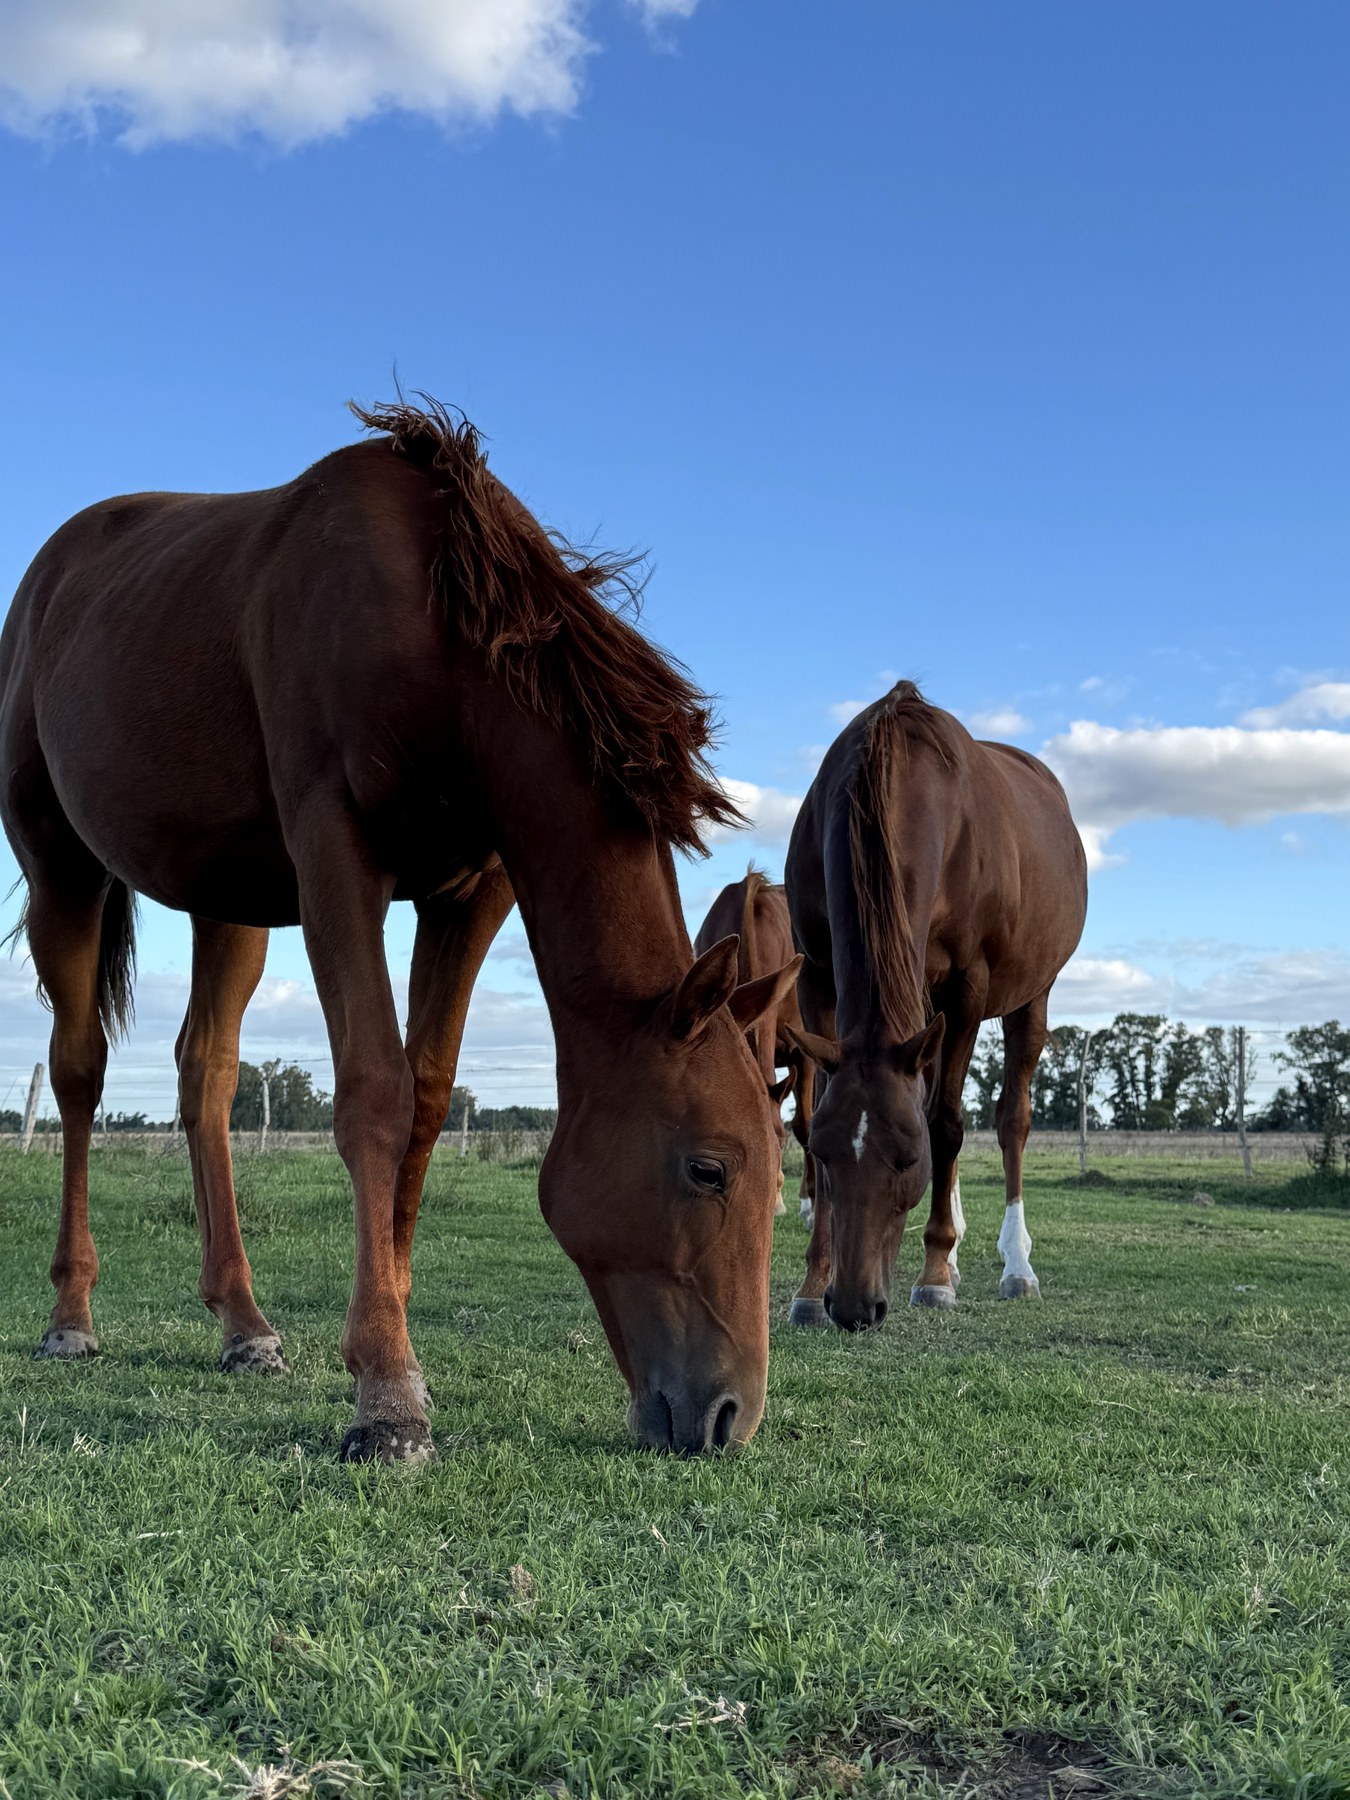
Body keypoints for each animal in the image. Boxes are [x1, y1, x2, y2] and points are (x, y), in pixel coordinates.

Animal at [0, 397, 799, 1459]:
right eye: (708, 1169)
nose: (728, 1417)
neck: (435, 632)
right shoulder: (338, 857)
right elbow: (375, 1093)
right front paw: (387, 1391)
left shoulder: (470, 893)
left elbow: (424, 1100)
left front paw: (391, 1325)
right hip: (61, 865)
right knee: (80, 1071)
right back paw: (71, 1317)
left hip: (230, 900)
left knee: (205, 1076)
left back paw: (244, 1325)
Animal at [783, 681, 1086, 1330]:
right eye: (823, 1156)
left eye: (906, 1159)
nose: (852, 1307)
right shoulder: (816, 978)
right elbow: (820, 1107)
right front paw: (810, 1284)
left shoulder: (967, 986)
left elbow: (946, 1123)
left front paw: (935, 1273)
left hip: (1032, 995)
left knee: (1011, 1120)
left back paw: (1014, 1264)